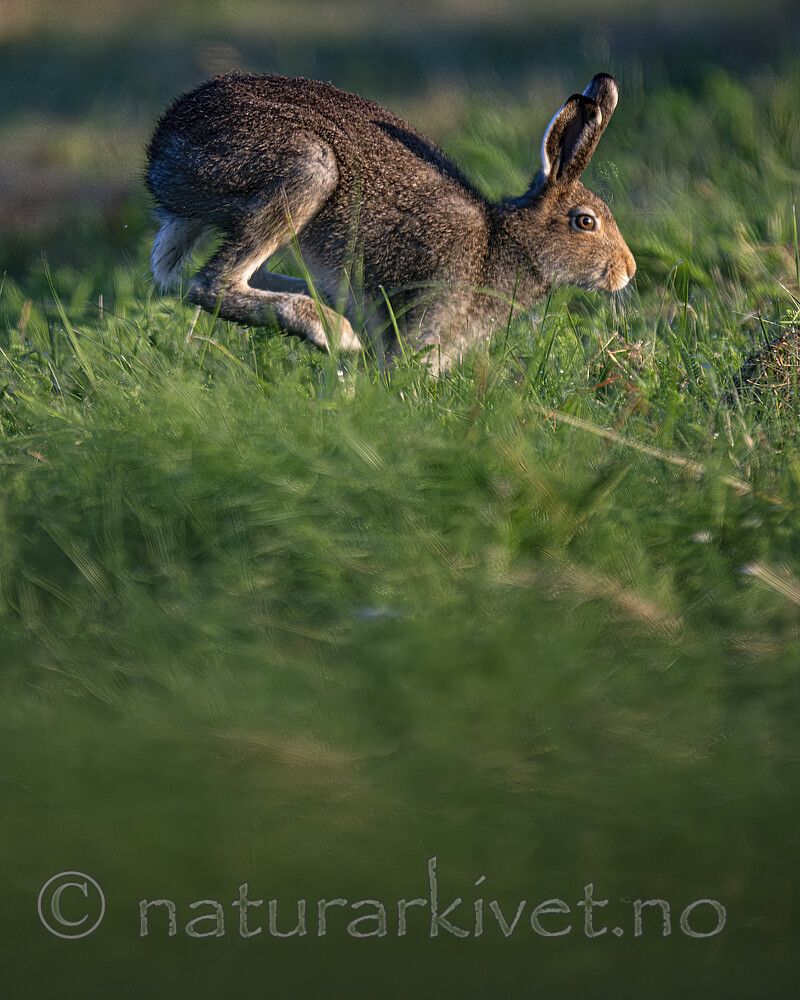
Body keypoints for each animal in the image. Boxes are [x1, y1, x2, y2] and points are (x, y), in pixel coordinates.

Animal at [146, 72, 635, 372]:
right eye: (585, 222)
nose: (627, 271)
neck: (504, 241)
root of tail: (162, 148)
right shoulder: (428, 310)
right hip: (306, 169)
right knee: (212, 283)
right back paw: (334, 332)